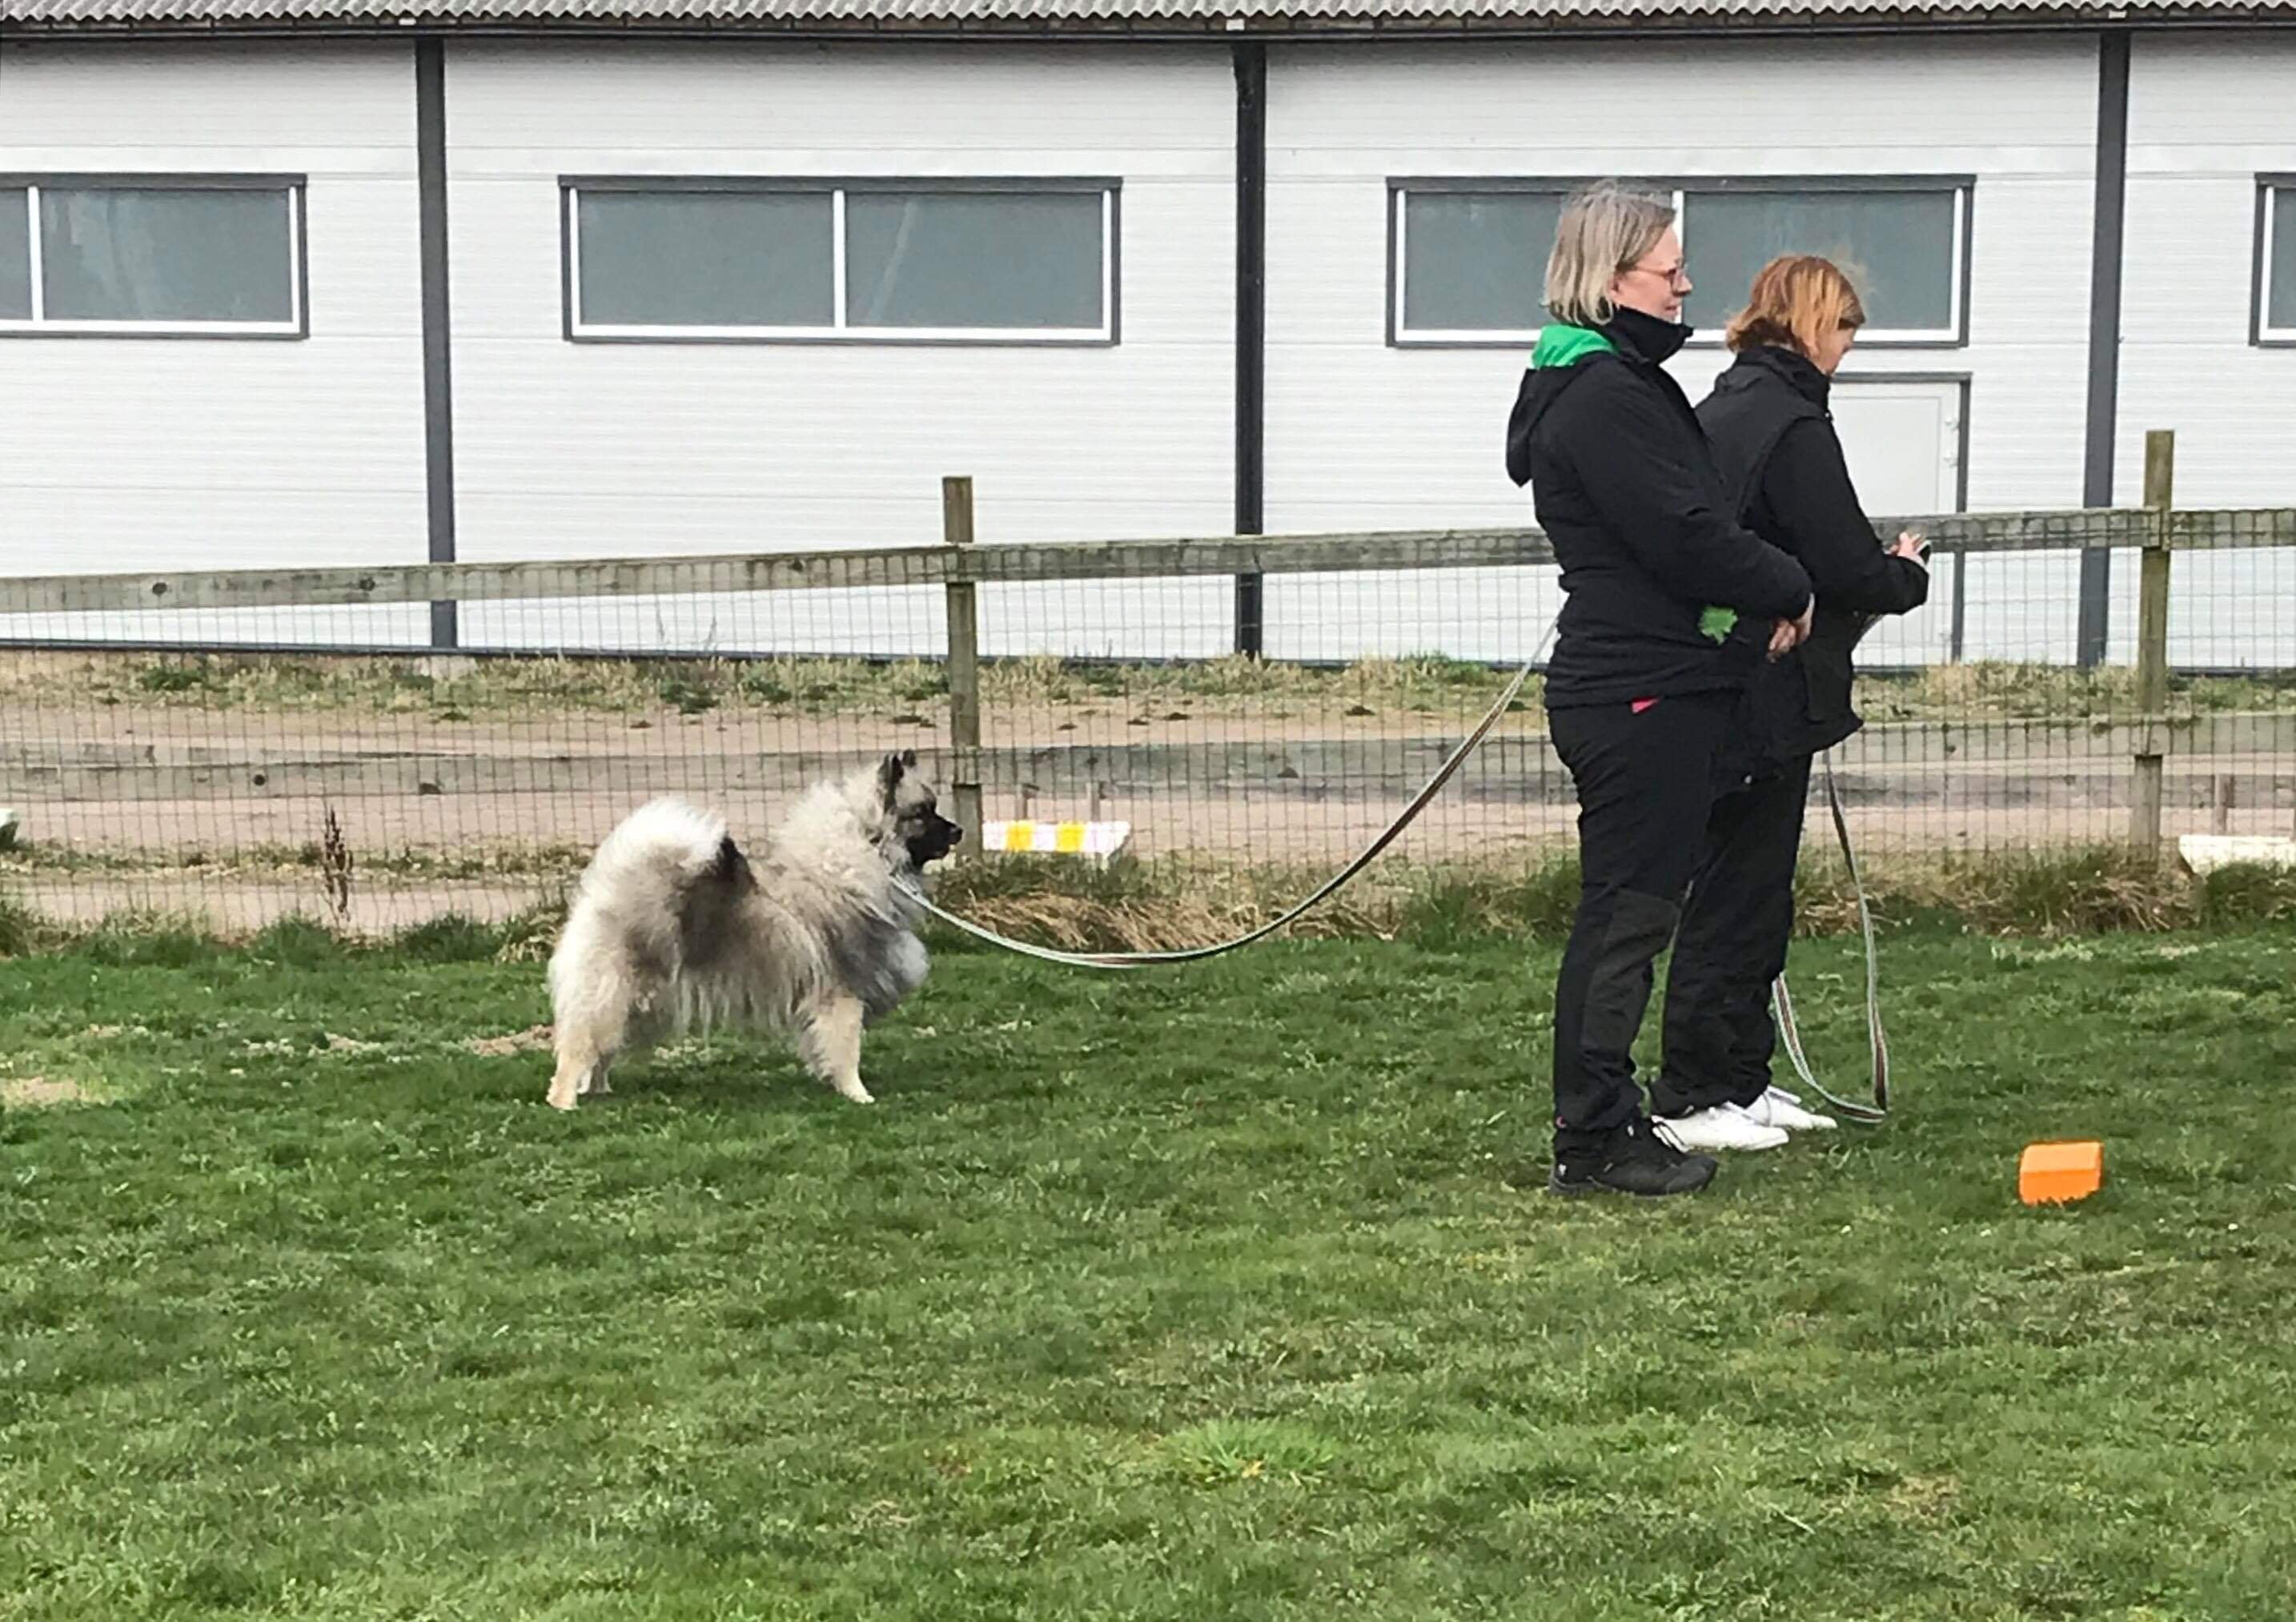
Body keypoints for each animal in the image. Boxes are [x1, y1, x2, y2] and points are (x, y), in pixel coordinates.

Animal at [545, 750, 963, 1110]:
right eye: (923, 813)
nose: (958, 830)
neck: (865, 852)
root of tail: (608, 889)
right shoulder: (842, 995)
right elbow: (847, 1052)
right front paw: (858, 1095)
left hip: (635, 1002)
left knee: (602, 1052)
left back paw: (599, 1089)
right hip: (613, 994)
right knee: (579, 1050)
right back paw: (564, 1102)